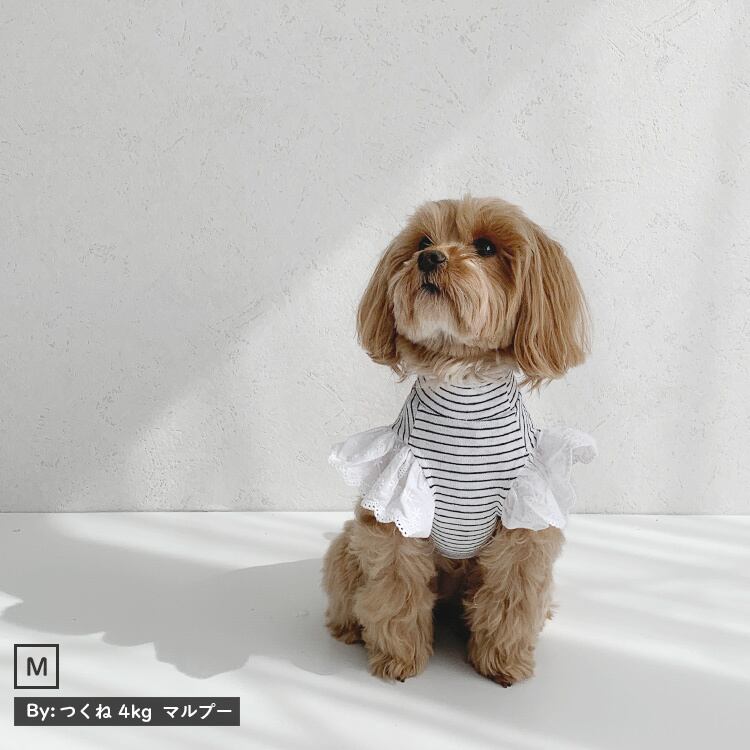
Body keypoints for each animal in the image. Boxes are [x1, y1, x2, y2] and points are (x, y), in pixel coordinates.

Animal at [323, 195, 594, 685]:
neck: (463, 390)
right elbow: (396, 594)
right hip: (347, 546)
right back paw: (350, 628)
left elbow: (511, 598)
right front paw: (398, 659)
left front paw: (503, 661)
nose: (430, 258)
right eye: (422, 242)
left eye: (485, 247)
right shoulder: (395, 514)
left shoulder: (524, 525)